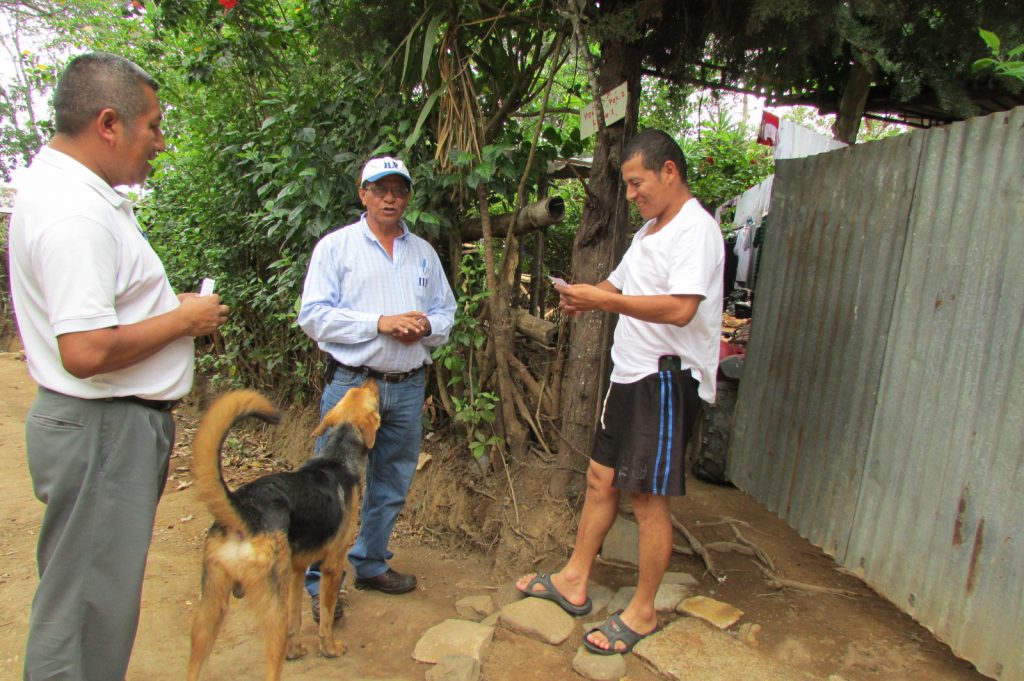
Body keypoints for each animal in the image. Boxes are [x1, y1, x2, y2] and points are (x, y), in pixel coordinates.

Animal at [185, 378, 380, 679]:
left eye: (356, 390)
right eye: (371, 394)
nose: (371, 377)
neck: (337, 457)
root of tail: (244, 511)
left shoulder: (297, 569)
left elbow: (296, 618)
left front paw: (296, 650)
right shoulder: (332, 566)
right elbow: (325, 616)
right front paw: (330, 649)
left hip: (209, 610)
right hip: (269, 609)